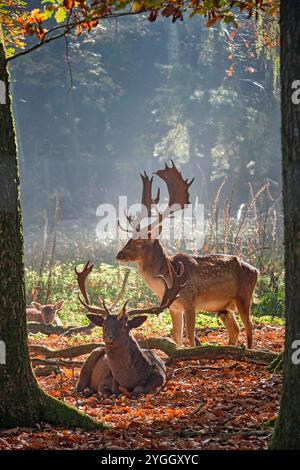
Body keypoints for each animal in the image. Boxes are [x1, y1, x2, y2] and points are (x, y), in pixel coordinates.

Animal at [75, 260, 185, 396]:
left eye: (124, 326)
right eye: (104, 325)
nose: (108, 337)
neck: (129, 381)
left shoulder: (160, 378)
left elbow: (139, 390)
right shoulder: (103, 383)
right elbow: (105, 392)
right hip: (89, 360)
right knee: (78, 385)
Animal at [116, 162, 258, 348]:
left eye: (139, 243)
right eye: (129, 239)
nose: (119, 255)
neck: (168, 281)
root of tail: (256, 271)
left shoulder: (190, 303)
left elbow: (190, 337)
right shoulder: (174, 308)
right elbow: (177, 337)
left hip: (244, 296)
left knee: (249, 326)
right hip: (224, 308)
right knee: (235, 330)